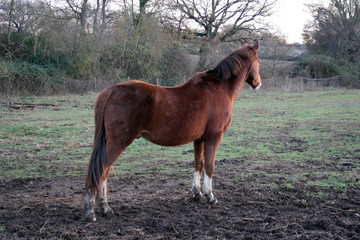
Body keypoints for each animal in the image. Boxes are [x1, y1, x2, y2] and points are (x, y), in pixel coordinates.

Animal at [86, 41, 262, 221]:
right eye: (259, 61)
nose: (258, 83)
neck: (218, 88)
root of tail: (111, 91)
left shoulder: (199, 139)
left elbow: (199, 164)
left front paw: (197, 194)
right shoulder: (214, 136)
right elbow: (210, 165)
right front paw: (210, 196)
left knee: (102, 171)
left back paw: (102, 207)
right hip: (118, 143)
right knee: (101, 171)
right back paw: (94, 210)